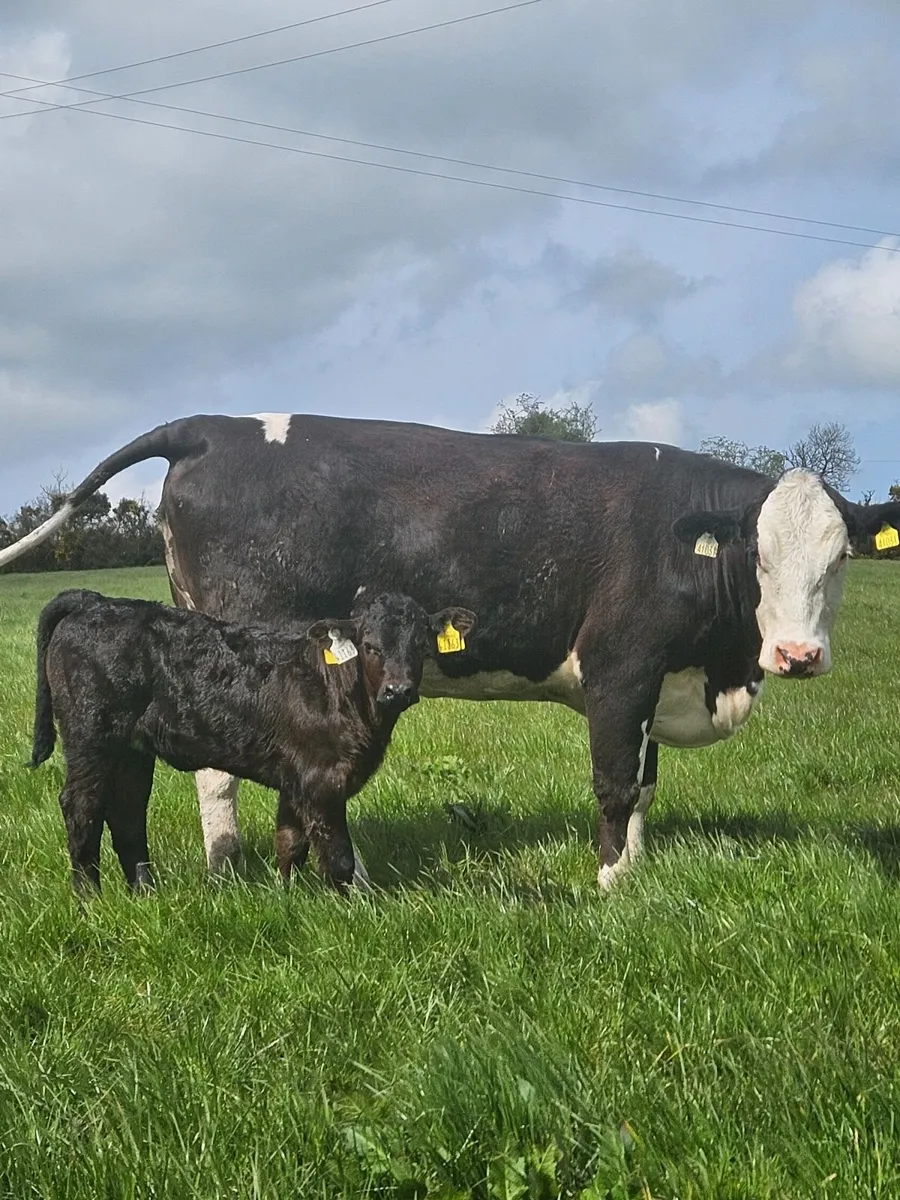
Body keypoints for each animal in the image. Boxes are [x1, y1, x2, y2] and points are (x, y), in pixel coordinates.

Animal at [29, 586, 476, 894]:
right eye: (370, 645)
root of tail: (95, 601)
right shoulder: (321, 780)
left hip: (132, 748)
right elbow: (338, 859)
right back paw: (90, 899)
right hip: (91, 736)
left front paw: (286, 897)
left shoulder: (296, 779)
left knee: (127, 810)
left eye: (420, 644)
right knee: (82, 807)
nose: (398, 691)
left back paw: (145, 893)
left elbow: (289, 843)